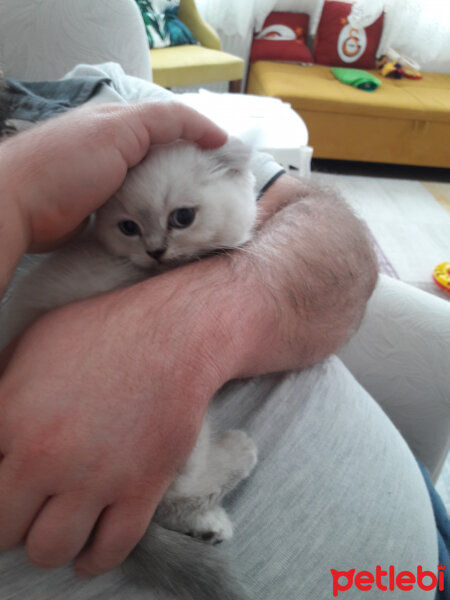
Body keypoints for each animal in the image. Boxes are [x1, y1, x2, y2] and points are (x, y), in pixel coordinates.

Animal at [0, 137, 258, 600]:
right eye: (128, 228)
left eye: (182, 218)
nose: (155, 250)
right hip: (182, 418)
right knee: (176, 491)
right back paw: (233, 466)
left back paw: (208, 525)